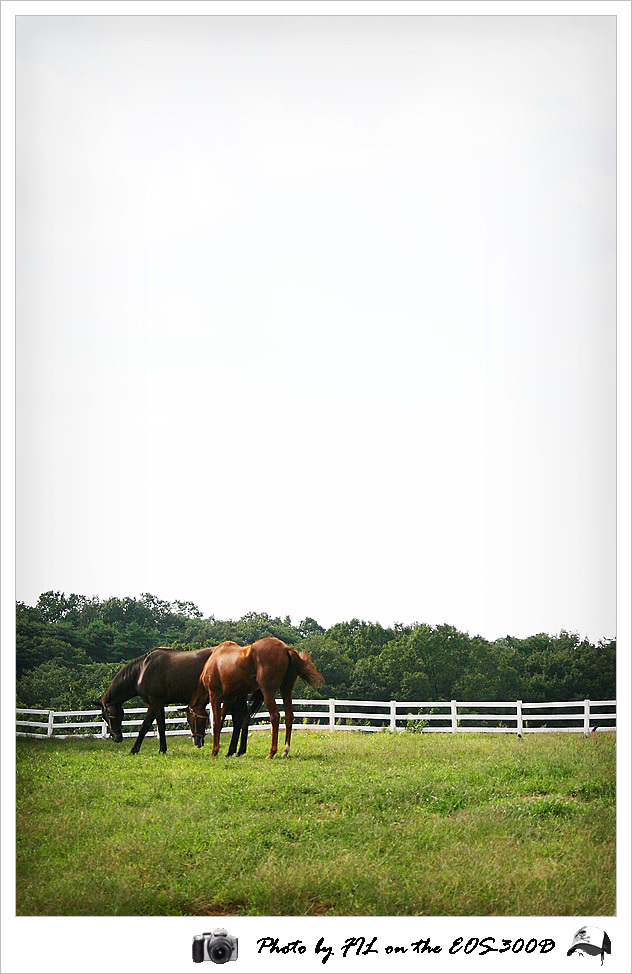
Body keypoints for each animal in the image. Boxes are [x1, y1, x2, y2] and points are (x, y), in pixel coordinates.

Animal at [99, 652, 262, 760]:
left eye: (108, 716)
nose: (116, 737)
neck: (142, 670)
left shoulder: (157, 701)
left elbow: (160, 725)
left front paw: (162, 750)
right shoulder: (152, 703)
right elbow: (145, 726)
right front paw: (134, 750)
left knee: (239, 720)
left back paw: (233, 751)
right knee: (243, 719)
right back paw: (238, 751)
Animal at [186, 640, 326, 764]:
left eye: (190, 720)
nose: (197, 742)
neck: (214, 661)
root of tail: (286, 649)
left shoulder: (215, 696)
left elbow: (216, 723)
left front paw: (214, 751)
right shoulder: (230, 698)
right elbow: (223, 722)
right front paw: (229, 751)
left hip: (268, 692)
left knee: (275, 716)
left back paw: (271, 752)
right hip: (286, 689)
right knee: (288, 716)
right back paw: (285, 751)